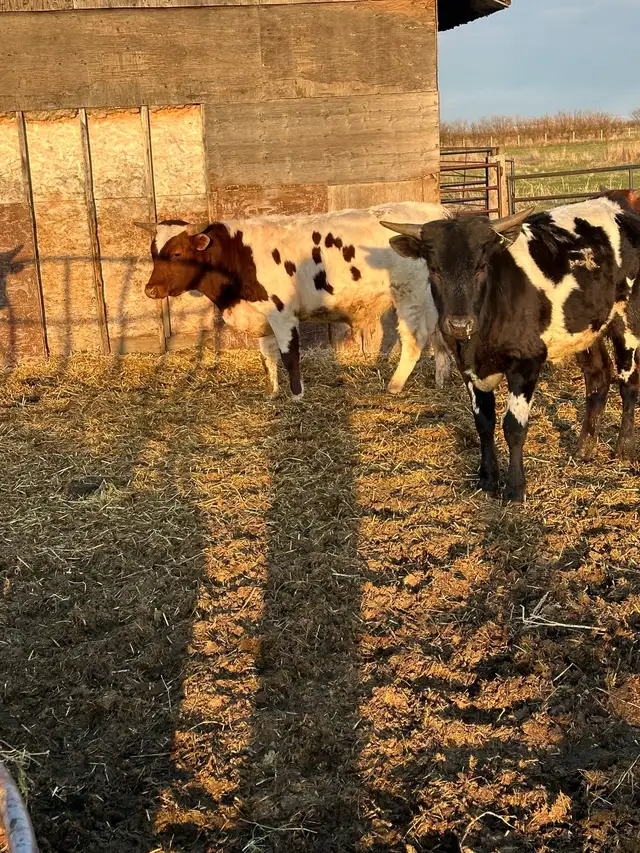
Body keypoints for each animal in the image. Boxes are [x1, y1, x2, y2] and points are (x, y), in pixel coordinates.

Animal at [134, 203, 453, 400]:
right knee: (440, 339)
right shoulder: (262, 315)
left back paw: (394, 385)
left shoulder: (282, 314)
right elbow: (267, 357)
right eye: (153, 252)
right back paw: (441, 380)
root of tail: (434, 213)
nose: (150, 290)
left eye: (177, 253)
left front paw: (296, 395)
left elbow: (289, 355)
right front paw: (272, 392)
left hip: (410, 296)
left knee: (415, 340)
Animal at [382, 191, 640, 501]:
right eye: (434, 269)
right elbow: (484, 424)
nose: (459, 325)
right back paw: (584, 448)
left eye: (481, 267)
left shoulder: (527, 362)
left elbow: (514, 427)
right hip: (585, 330)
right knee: (598, 378)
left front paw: (515, 487)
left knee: (628, 383)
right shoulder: (469, 369)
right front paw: (487, 478)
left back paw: (624, 448)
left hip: (627, 321)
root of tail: (619, 206)